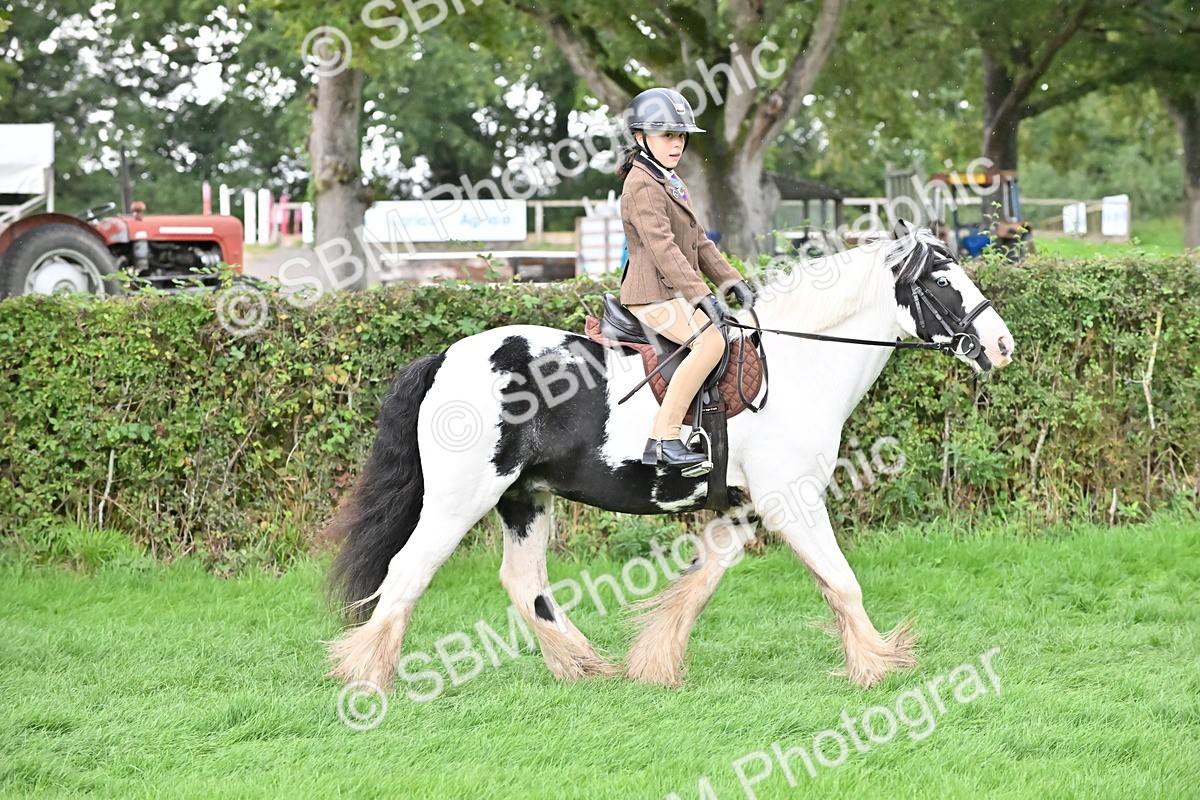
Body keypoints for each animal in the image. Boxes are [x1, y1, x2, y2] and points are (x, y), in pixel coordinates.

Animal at [324, 224, 1015, 691]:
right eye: (941, 281)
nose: (1002, 345)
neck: (800, 363)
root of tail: (445, 358)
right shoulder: (791, 501)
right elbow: (841, 581)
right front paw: (879, 664)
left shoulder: (739, 510)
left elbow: (699, 584)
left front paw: (653, 663)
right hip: (459, 499)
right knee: (408, 571)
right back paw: (368, 678)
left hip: (526, 499)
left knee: (525, 583)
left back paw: (583, 666)